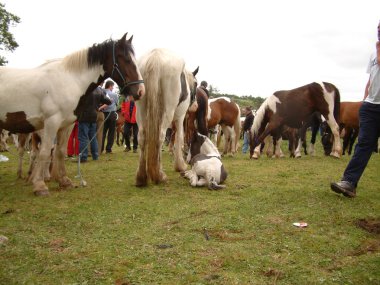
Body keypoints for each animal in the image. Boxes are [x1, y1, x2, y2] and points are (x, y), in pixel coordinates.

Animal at [0, 32, 145, 194]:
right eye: (126, 59)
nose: (141, 91)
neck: (70, 80)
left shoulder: (65, 125)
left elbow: (60, 151)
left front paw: (64, 180)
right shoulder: (51, 122)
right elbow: (45, 151)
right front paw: (39, 185)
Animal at [134, 48, 199, 186]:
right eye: (196, 83)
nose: (195, 105)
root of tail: (155, 57)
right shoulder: (180, 117)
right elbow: (179, 138)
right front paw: (180, 165)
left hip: (141, 110)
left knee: (142, 137)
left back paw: (141, 177)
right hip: (168, 111)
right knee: (160, 136)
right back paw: (159, 175)